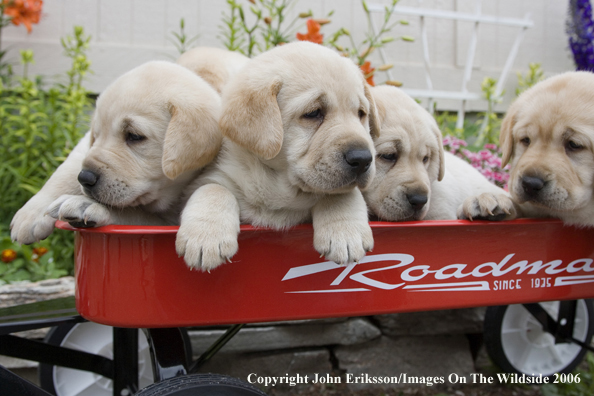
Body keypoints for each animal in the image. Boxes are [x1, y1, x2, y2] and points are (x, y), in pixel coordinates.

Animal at [10, 60, 221, 243]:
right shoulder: (84, 146)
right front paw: (30, 215)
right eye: (96, 135)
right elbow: (67, 169)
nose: (85, 178)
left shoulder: (167, 221)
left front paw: (86, 204)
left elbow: (133, 213)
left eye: (134, 136)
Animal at [177, 41, 380, 270]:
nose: (363, 159)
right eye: (313, 113)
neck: (281, 189)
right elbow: (213, 189)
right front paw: (205, 237)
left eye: (361, 113)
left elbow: (340, 193)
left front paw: (345, 233)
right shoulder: (212, 175)